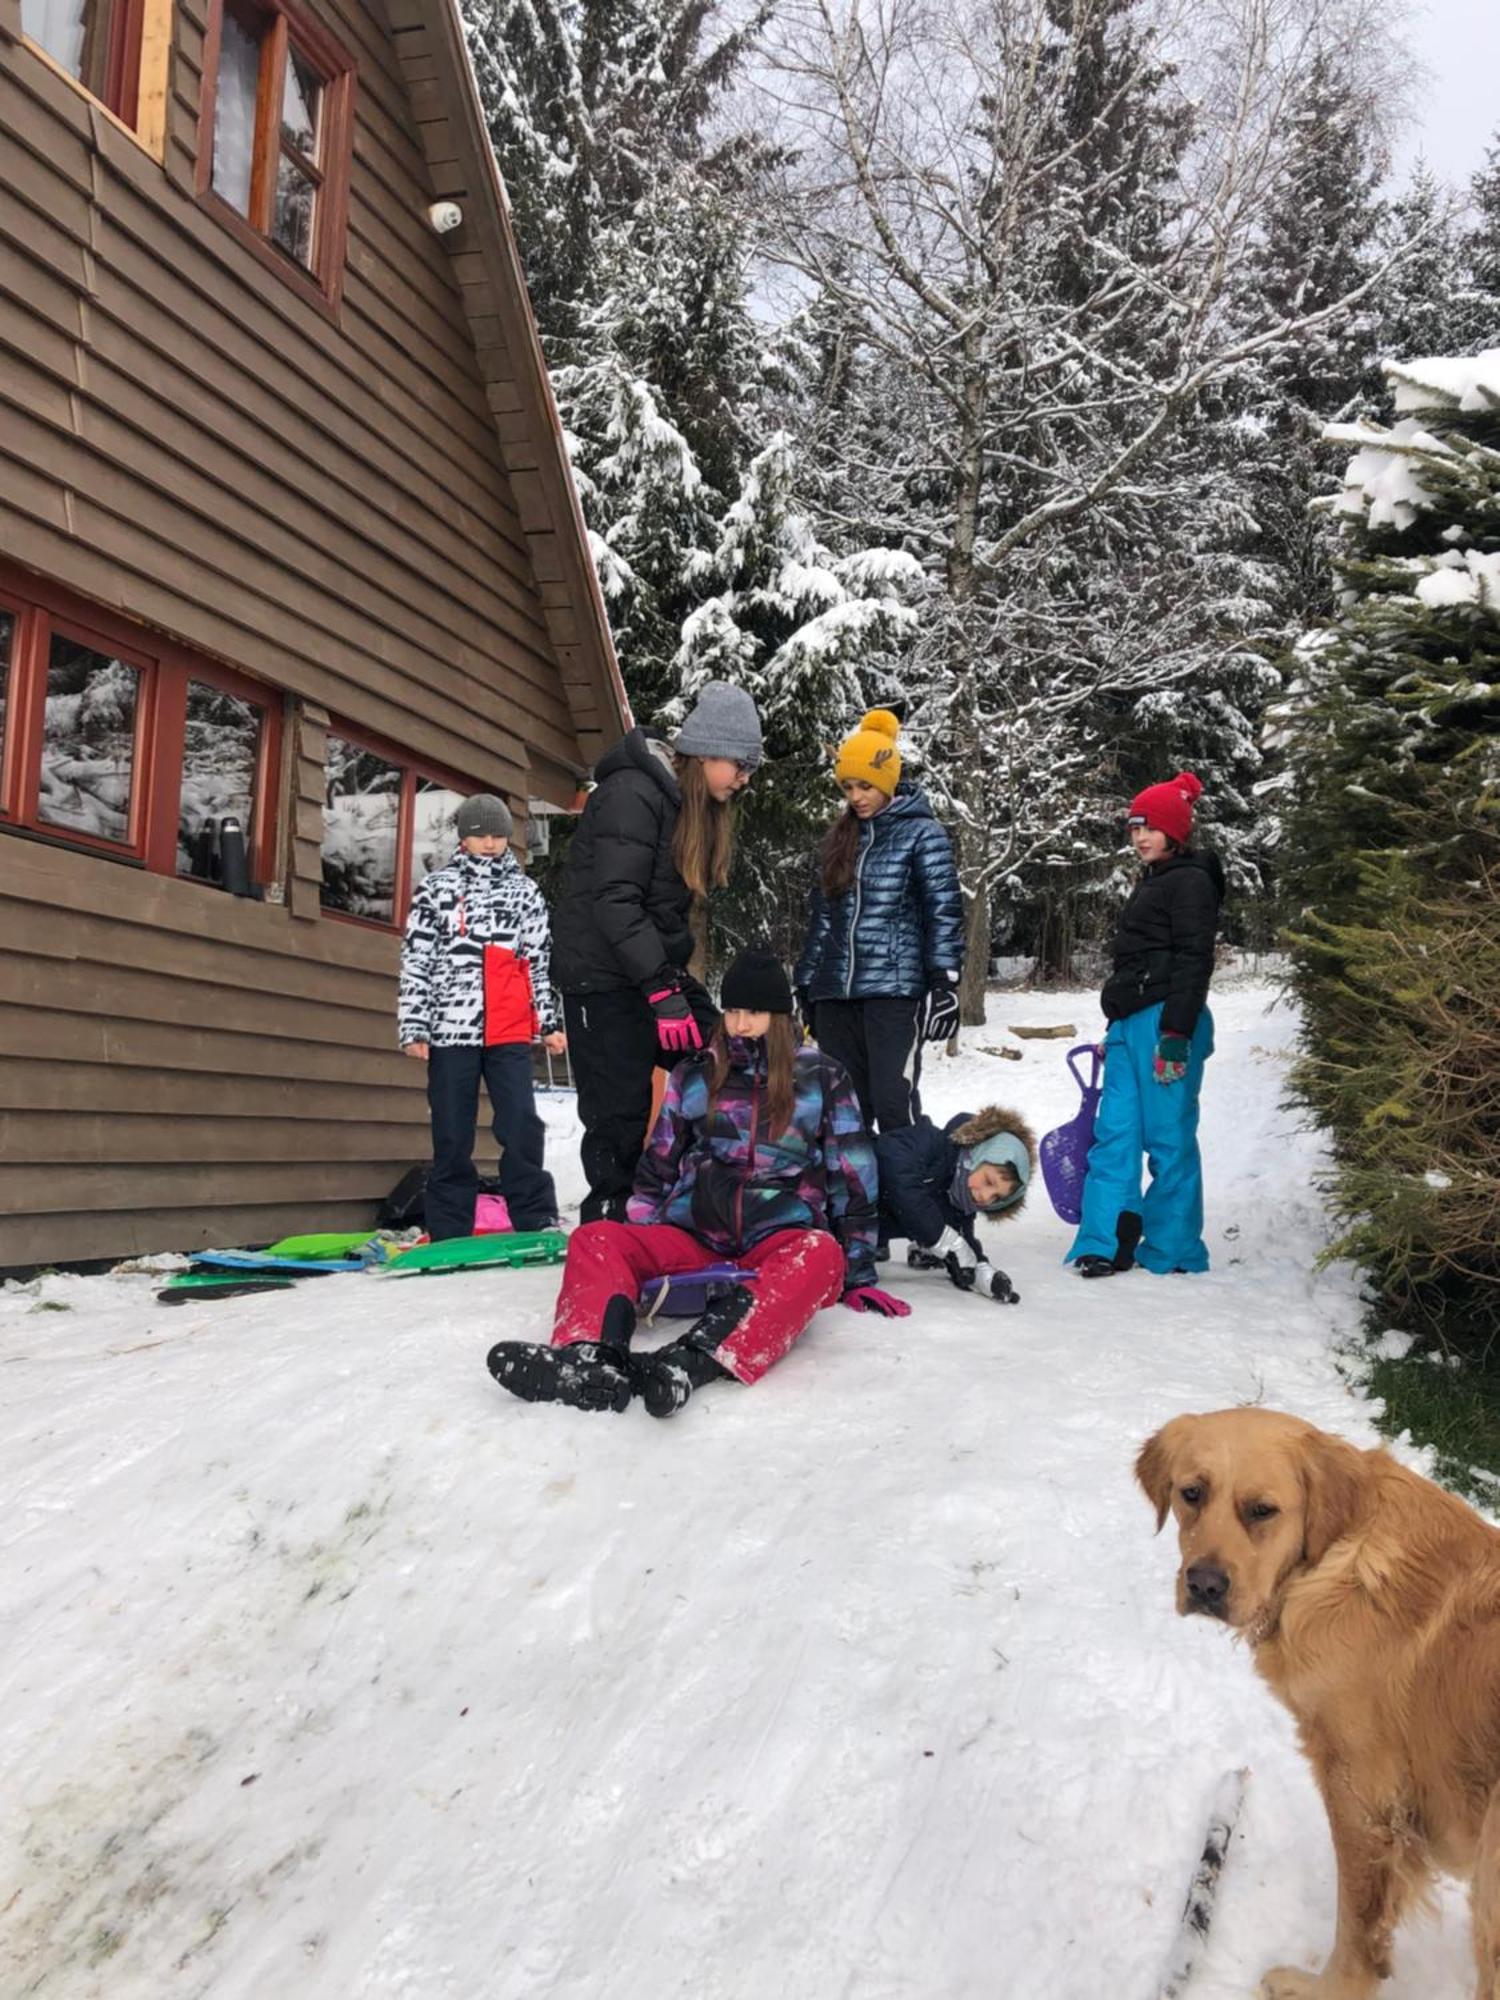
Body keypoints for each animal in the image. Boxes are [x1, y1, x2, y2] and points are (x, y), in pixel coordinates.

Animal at [1136, 1416, 1500, 1992]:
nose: (1204, 1585)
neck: (1332, 1561)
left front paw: (1328, 1989)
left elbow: (1358, 1923)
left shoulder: (1362, 1791)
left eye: (1262, 1510)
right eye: (1191, 1493)